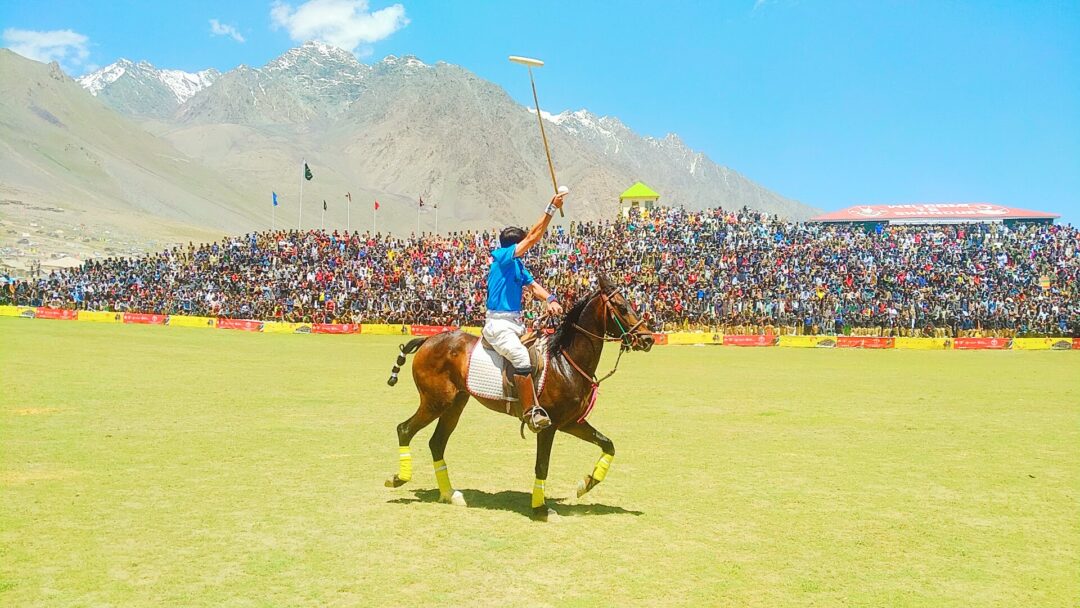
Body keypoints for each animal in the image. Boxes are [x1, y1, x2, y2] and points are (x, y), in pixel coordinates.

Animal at [384, 276, 652, 518]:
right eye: (621, 307)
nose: (648, 338)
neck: (565, 360)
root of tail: (428, 339)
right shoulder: (548, 425)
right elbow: (542, 465)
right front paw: (541, 508)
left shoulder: (571, 422)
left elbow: (608, 444)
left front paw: (586, 484)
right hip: (435, 401)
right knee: (404, 429)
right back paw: (399, 478)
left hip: (455, 403)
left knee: (436, 443)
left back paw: (450, 494)